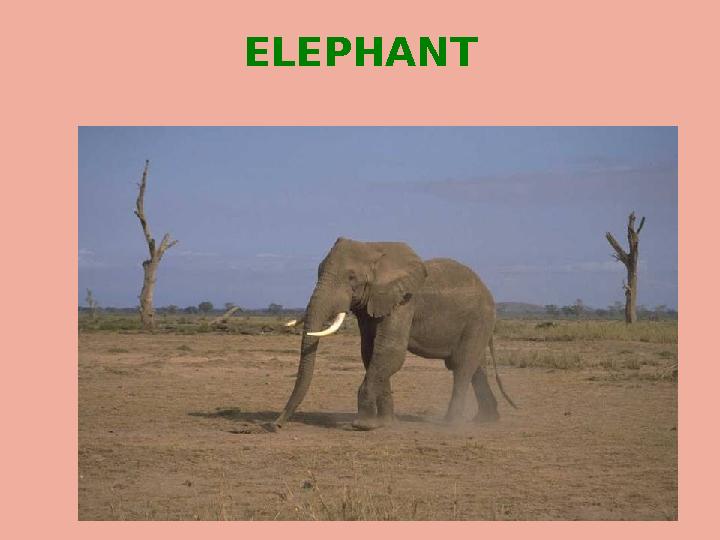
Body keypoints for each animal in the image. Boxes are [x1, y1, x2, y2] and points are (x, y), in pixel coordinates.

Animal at [272, 237, 516, 431]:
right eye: (318, 272)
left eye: (351, 277)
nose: (276, 425)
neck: (374, 249)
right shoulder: (372, 304)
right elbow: (370, 353)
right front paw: (385, 423)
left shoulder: (403, 302)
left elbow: (390, 351)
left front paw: (362, 426)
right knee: (476, 367)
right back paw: (485, 420)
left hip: (479, 318)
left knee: (463, 366)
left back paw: (451, 424)